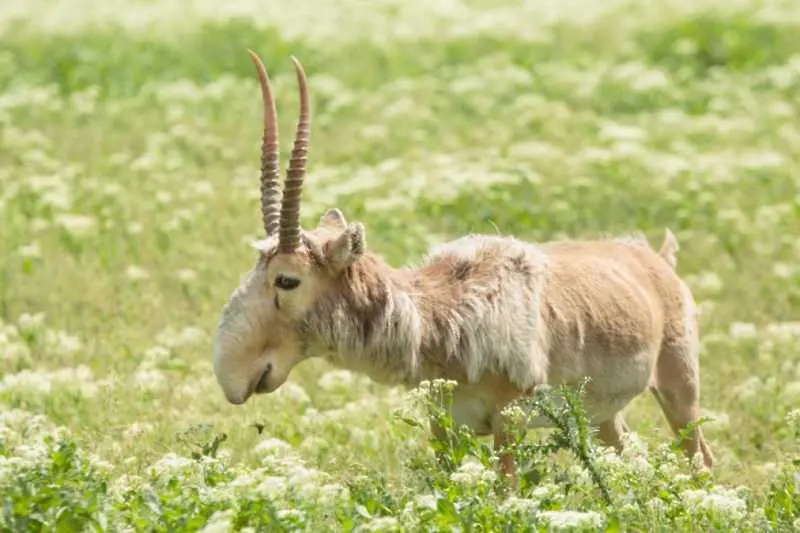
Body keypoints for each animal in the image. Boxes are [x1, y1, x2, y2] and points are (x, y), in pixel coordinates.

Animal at [211, 51, 712, 486]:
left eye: (286, 279)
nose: (233, 378)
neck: (443, 310)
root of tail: (655, 259)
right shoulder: (445, 426)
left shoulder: (508, 424)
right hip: (603, 416)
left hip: (679, 390)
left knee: (701, 458)